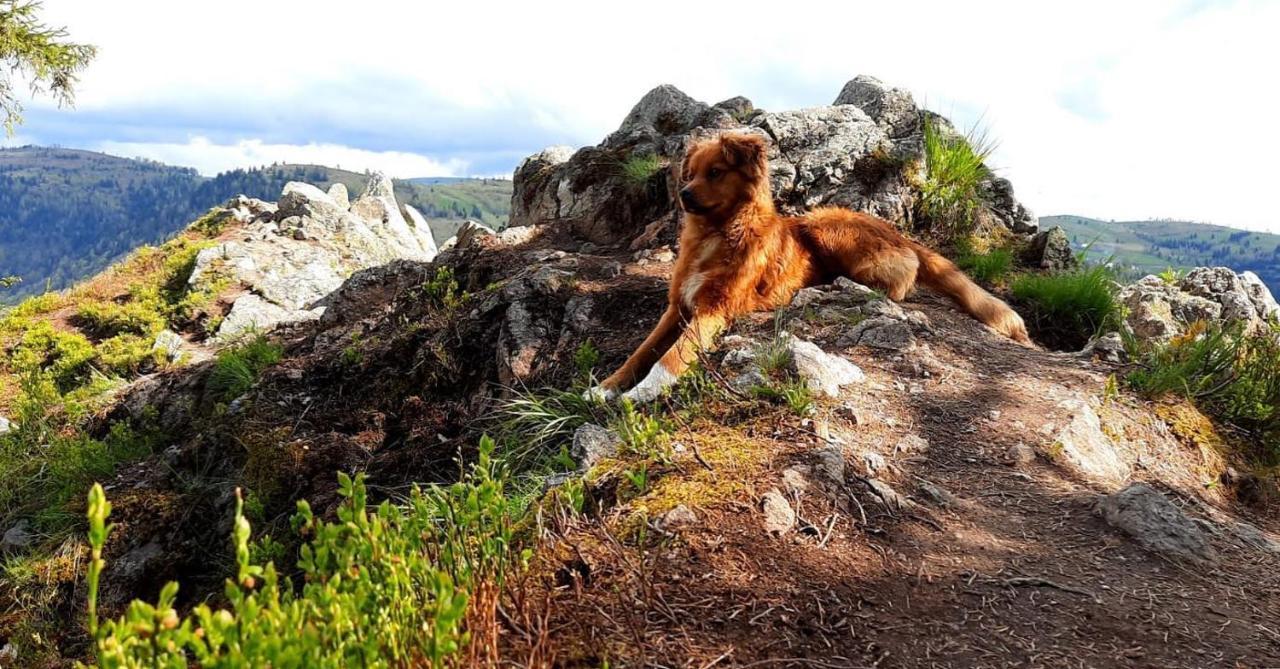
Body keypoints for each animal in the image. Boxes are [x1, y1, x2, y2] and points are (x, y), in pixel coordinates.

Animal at [588, 131, 1029, 404]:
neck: (717, 233)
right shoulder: (677, 306)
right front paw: (606, 388)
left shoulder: (714, 308)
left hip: (824, 225)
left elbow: (671, 357)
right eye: (691, 172)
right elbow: (640, 352)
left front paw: (642, 394)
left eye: (715, 172)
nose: (683, 195)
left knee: (902, 278)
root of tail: (898, 233)